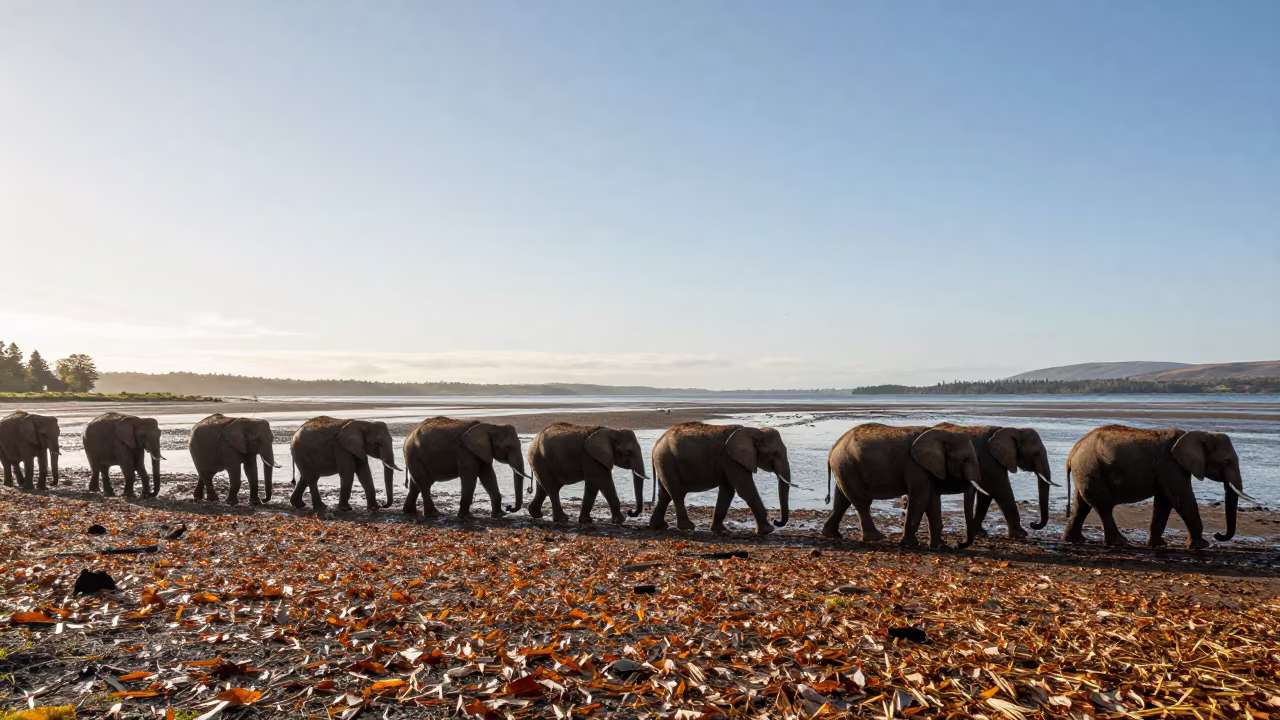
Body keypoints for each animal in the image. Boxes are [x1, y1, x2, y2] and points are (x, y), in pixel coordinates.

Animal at [648, 422, 792, 536]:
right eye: (774, 454)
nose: (776, 521)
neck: (754, 431)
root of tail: (656, 445)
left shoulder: (729, 461)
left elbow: (728, 491)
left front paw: (721, 530)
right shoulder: (731, 460)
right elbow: (745, 489)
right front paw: (768, 530)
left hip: (664, 464)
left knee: (665, 495)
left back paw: (659, 526)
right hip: (667, 461)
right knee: (677, 493)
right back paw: (688, 527)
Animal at [821, 424, 983, 548]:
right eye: (965, 459)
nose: (958, 545)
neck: (943, 434)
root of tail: (833, 449)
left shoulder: (926, 468)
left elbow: (931, 500)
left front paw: (936, 546)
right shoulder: (914, 465)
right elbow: (920, 497)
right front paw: (910, 544)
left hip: (844, 467)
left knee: (842, 501)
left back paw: (832, 535)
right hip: (848, 465)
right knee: (862, 501)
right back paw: (877, 538)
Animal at [1063, 424, 1252, 549]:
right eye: (1227, 461)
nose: (1218, 535)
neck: (1196, 434)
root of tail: (1074, 450)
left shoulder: (1166, 469)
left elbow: (1164, 502)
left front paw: (1157, 544)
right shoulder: (1171, 466)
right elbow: (1182, 501)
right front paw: (1202, 546)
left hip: (1086, 472)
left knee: (1082, 505)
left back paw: (1076, 540)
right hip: (1092, 469)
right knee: (1104, 507)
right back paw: (1119, 542)